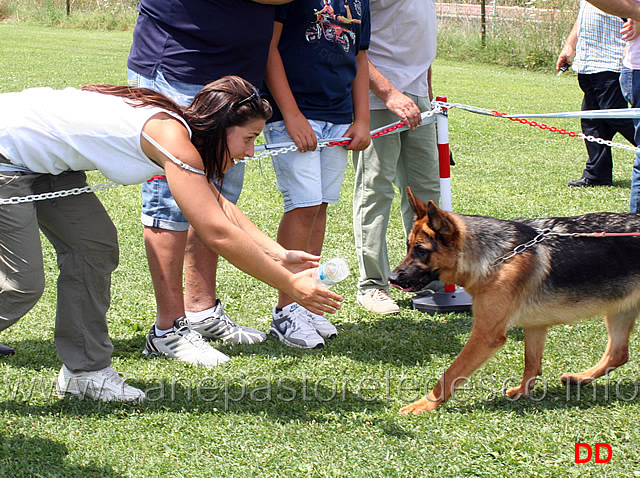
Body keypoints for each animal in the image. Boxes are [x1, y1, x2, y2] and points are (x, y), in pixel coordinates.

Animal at [388, 189, 640, 412]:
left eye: (421, 250)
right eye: (408, 247)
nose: (391, 278)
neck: (499, 257)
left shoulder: (486, 334)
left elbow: (450, 374)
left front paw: (425, 404)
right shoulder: (536, 325)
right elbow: (532, 362)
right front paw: (523, 391)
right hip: (619, 311)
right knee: (618, 353)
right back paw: (580, 378)